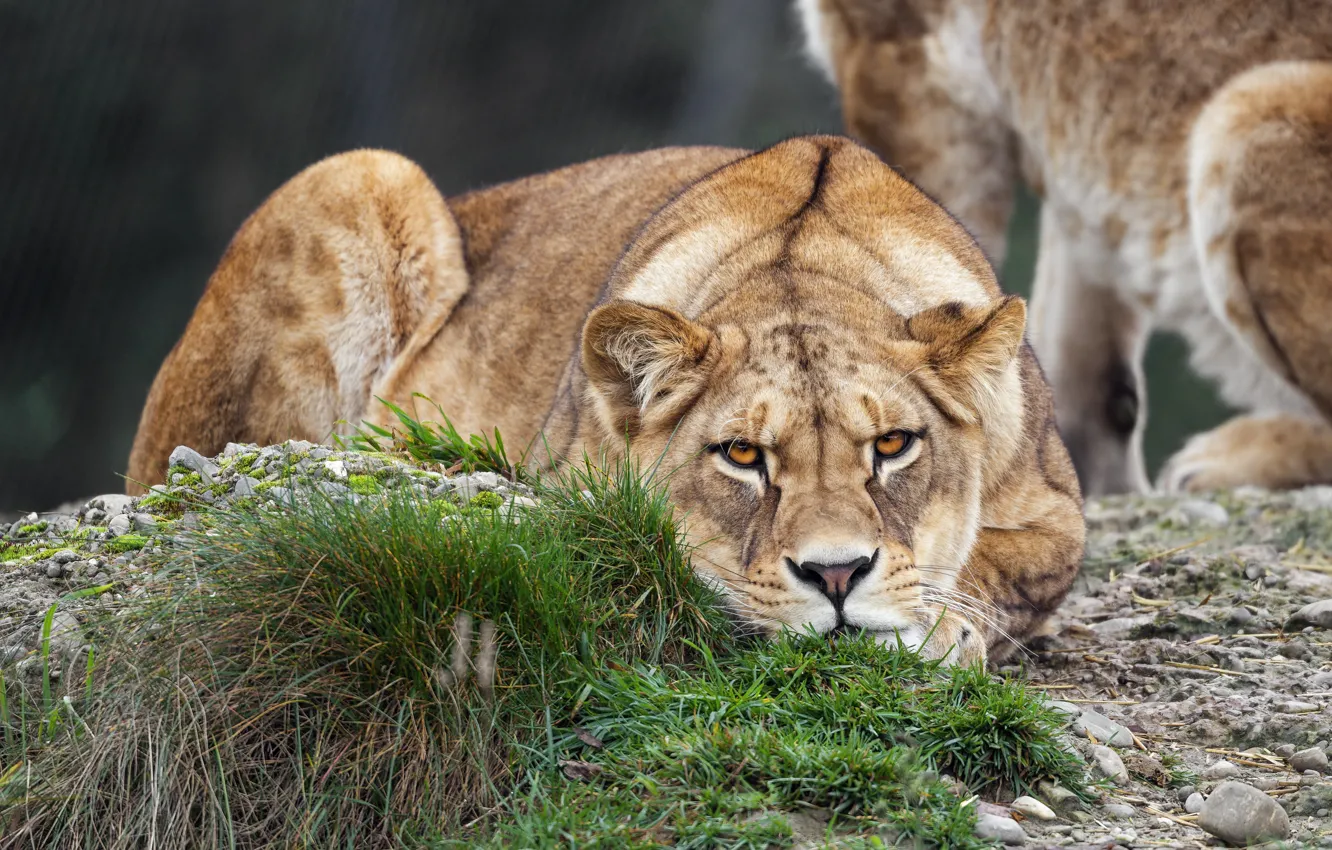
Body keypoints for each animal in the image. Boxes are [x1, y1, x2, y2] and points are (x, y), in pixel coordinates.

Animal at [126, 135, 1084, 664]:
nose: (838, 575)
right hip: (368, 174)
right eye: (742, 456)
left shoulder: (1058, 519)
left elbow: (993, 567)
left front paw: (933, 626)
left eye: (891, 446)